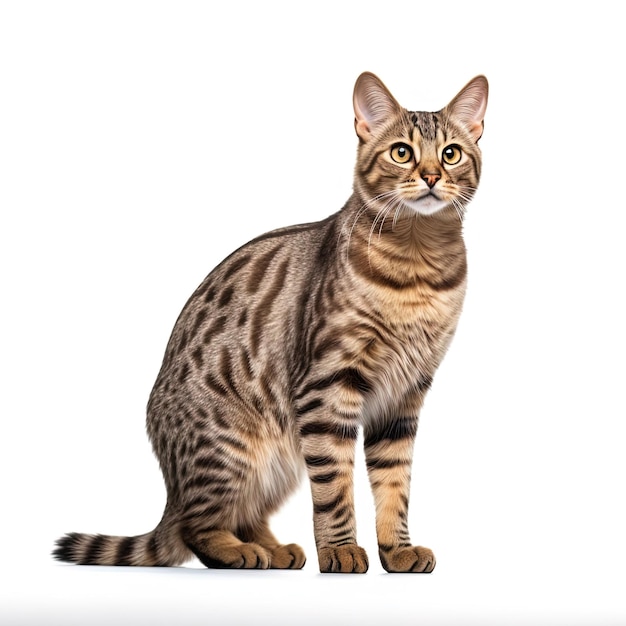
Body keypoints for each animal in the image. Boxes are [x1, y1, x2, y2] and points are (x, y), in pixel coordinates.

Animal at [53, 72, 486, 572]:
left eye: (451, 153)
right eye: (402, 152)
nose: (432, 176)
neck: (419, 266)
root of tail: (170, 491)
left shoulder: (404, 395)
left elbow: (395, 484)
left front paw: (396, 550)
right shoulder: (327, 386)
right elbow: (335, 487)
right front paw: (339, 550)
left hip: (279, 463)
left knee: (243, 515)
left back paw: (274, 549)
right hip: (233, 449)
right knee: (197, 529)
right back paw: (242, 552)